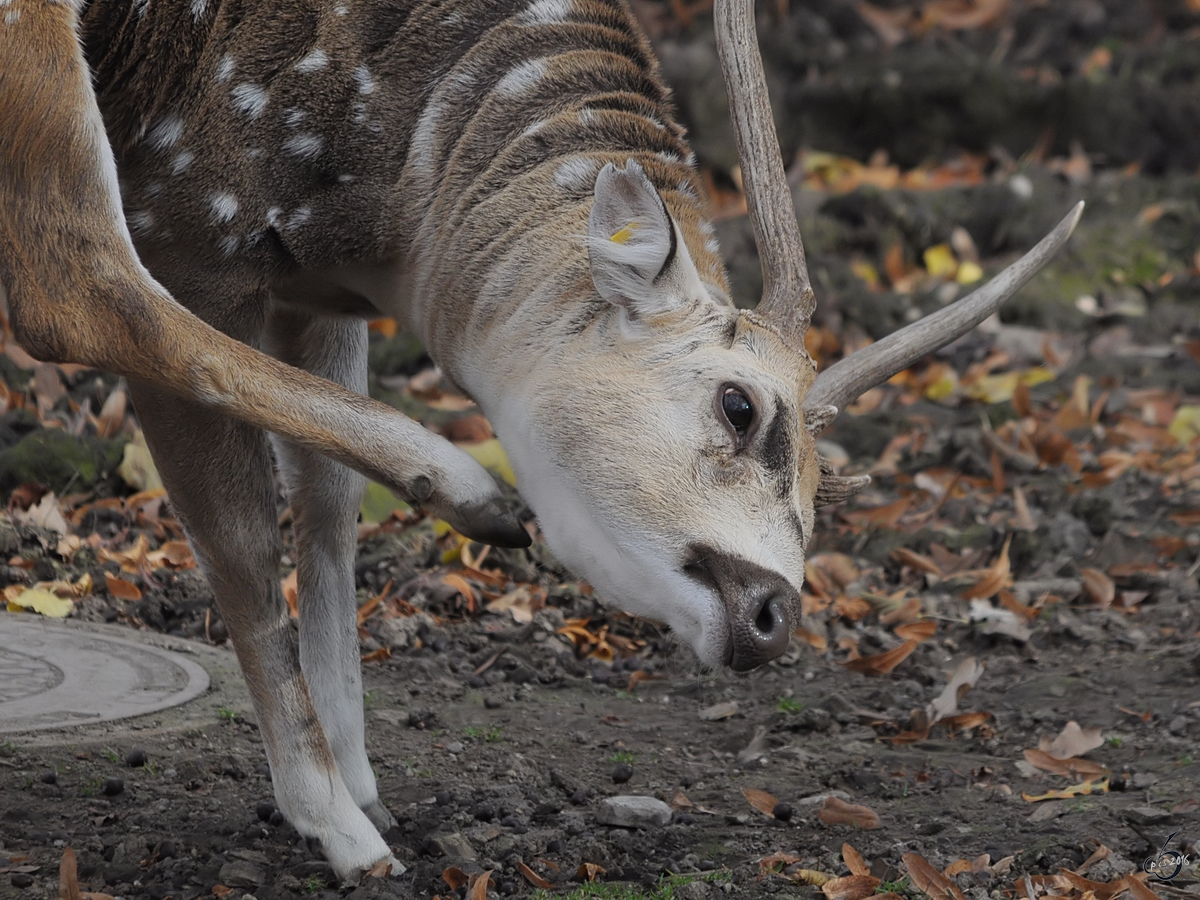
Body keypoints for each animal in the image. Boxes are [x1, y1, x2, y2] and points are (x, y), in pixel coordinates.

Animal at [0, 0, 1084, 883]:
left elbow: (328, 505)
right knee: (70, 278)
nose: (775, 618)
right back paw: (470, 494)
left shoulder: (315, 290)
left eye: (831, 484)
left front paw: (363, 783)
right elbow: (235, 534)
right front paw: (341, 829)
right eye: (740, 406)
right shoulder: (196, 218)